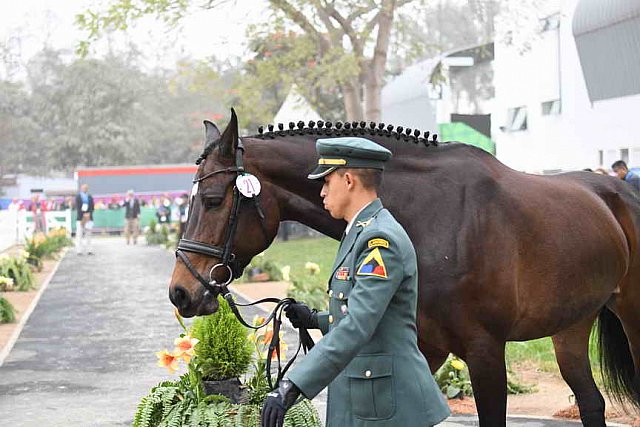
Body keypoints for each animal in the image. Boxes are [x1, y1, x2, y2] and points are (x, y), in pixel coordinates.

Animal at [169, 111, 640, 427]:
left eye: (212, 200)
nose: (181, 292)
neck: (434, 216)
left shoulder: (485, 351)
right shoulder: (422, 349)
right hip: (571, 327)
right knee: (591, 401)